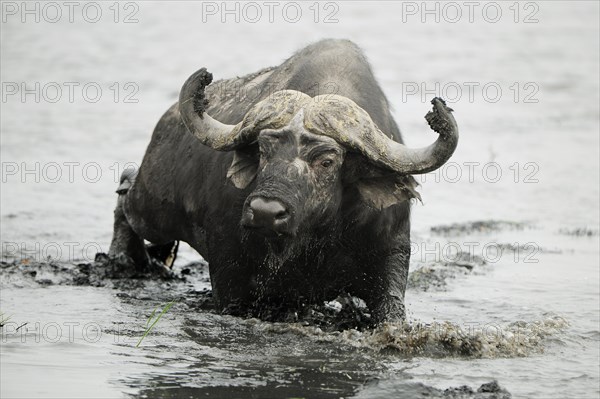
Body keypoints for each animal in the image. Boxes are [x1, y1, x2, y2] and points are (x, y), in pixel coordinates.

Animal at [106, 39, 460, 324]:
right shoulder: (229, 274)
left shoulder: (390, 256)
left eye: (327, 161)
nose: (265, 211)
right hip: (154, 206)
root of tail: (166, 122)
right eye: (264, 150)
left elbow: (391, 310)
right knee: (126, 191)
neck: (313, 236)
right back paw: (121, 258)